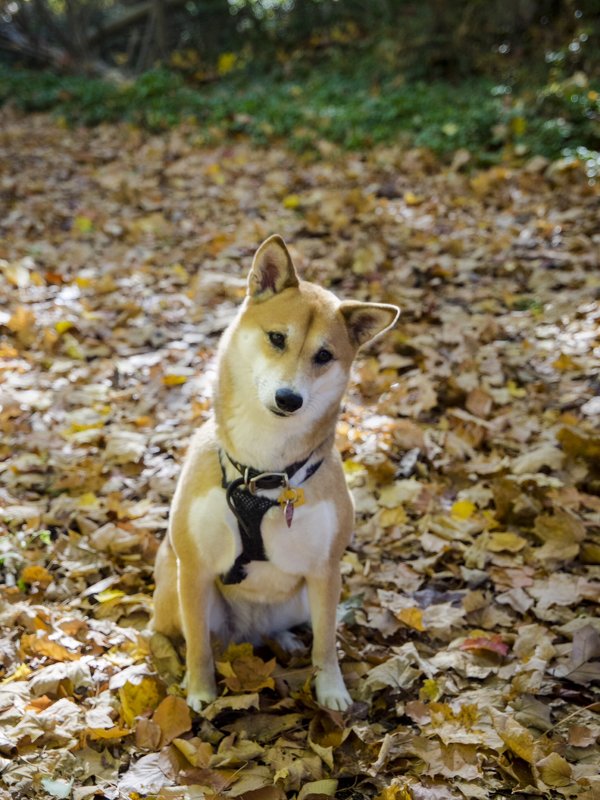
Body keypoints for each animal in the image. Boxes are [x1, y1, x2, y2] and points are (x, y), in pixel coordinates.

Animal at [152, 234, 400, 708]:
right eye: (276, 338)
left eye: (324, 355)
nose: (289, 399)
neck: (264, 470)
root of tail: (247, 633)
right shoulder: (194, 569)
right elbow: (198, 645)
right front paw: (200, 691)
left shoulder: (325, 571)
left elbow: (326, 642)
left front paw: (331, 689)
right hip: (174, 586)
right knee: (174, 633)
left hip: (302, 597)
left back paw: (283, 640)